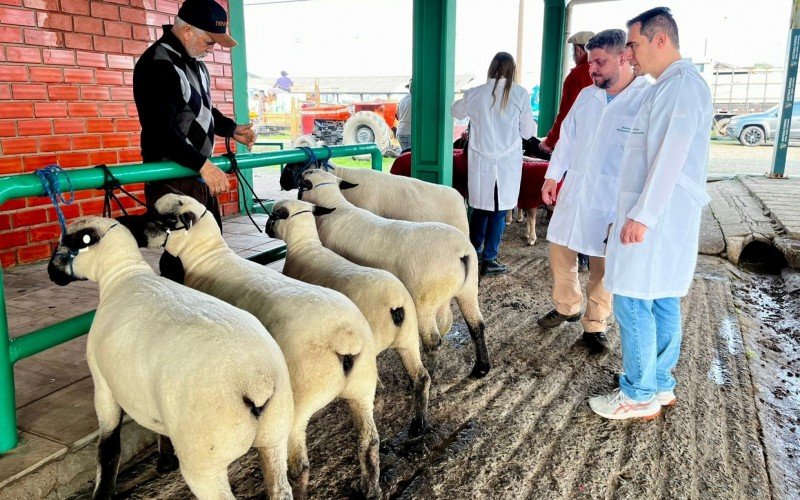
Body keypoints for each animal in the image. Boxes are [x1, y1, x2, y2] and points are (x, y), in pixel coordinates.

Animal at [46, 217, 294, 500]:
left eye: (65, 243)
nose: (50, 273)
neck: (123, 273)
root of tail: (255, 381)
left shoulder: (102, 386)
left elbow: (108, 446)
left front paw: (103, 493)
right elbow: (157, 427)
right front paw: (165, 461)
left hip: (205, 459)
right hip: (275, 433)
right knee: (281, 487)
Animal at [131, 194, 382, 500]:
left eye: (164, 218)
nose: (137, 234)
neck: (207, 257)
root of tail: (344, 337)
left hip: (298, 404)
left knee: (300, 465)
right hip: (363, 385)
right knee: (370, 440)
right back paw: (372, 488)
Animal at [296, 169, 490, 378]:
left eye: (301, 184)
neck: (336, 208)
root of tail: (461, 253)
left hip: (425, 303)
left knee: (433, 341)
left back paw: (432, 371)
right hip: (468, 290)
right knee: (477, 325)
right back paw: (481, 368)